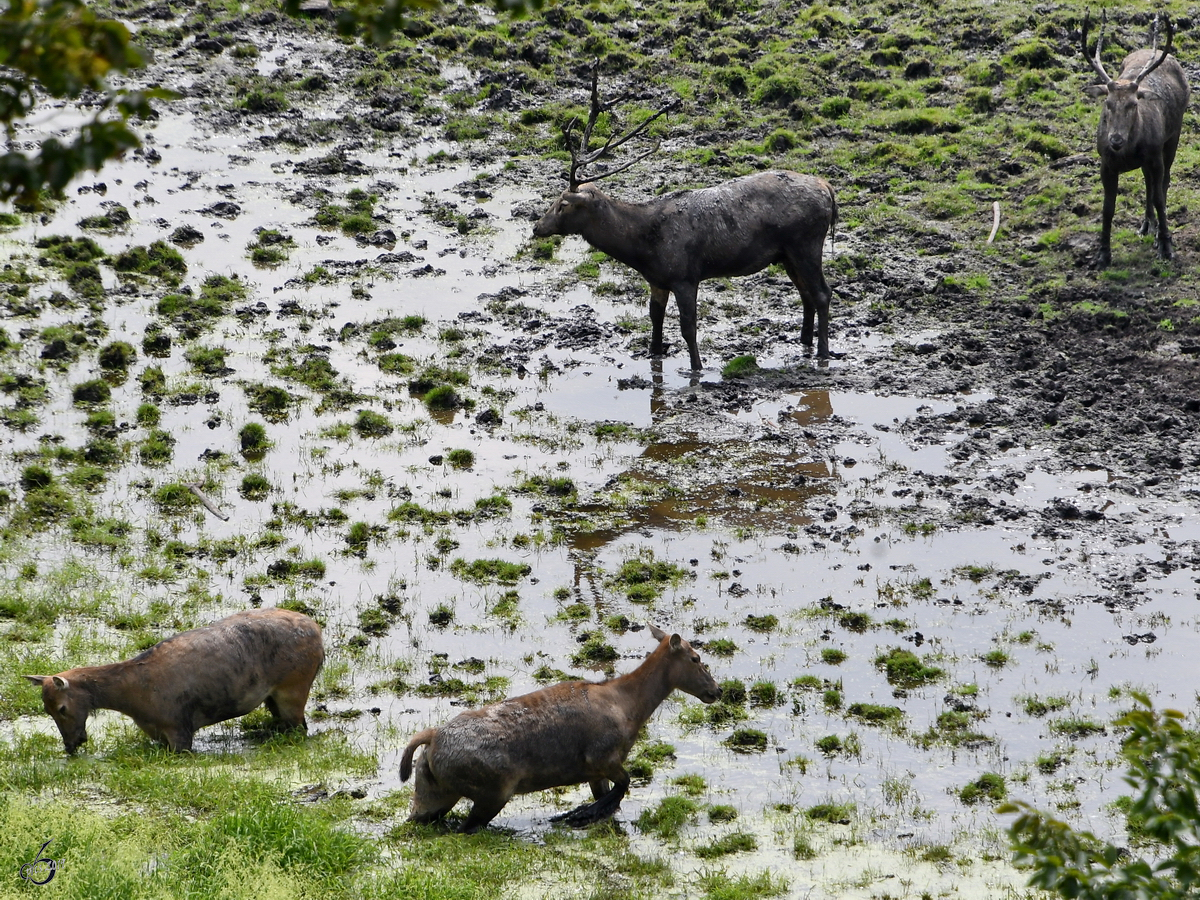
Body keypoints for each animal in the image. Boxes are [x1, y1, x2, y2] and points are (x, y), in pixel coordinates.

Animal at [535, 71, 835, 369]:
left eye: (563, 204)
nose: (537, 226)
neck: (642, 249)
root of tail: (828, 189)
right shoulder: (658, 279)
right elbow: (655, 317)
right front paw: (654, 353)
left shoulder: (685, 275)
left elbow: (688, 327)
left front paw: (697, 367)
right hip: (786, 254)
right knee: (806, 294)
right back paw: (804, 342)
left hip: (806, 243)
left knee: (823, 293)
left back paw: (822, 352)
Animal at [1089, 12, 1190, 266]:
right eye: (1108, 103)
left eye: (1134, 104)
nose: (1115, 140)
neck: (1128, 153)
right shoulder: (1106, 164)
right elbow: (1108, 208)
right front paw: (1103, 254)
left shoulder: (1155, 156)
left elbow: (1160, 198)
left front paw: (1166, 246)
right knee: (1148, 183)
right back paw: (1146, 225)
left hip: (1173, 137)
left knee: (1162, 183)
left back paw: (1156, 231)